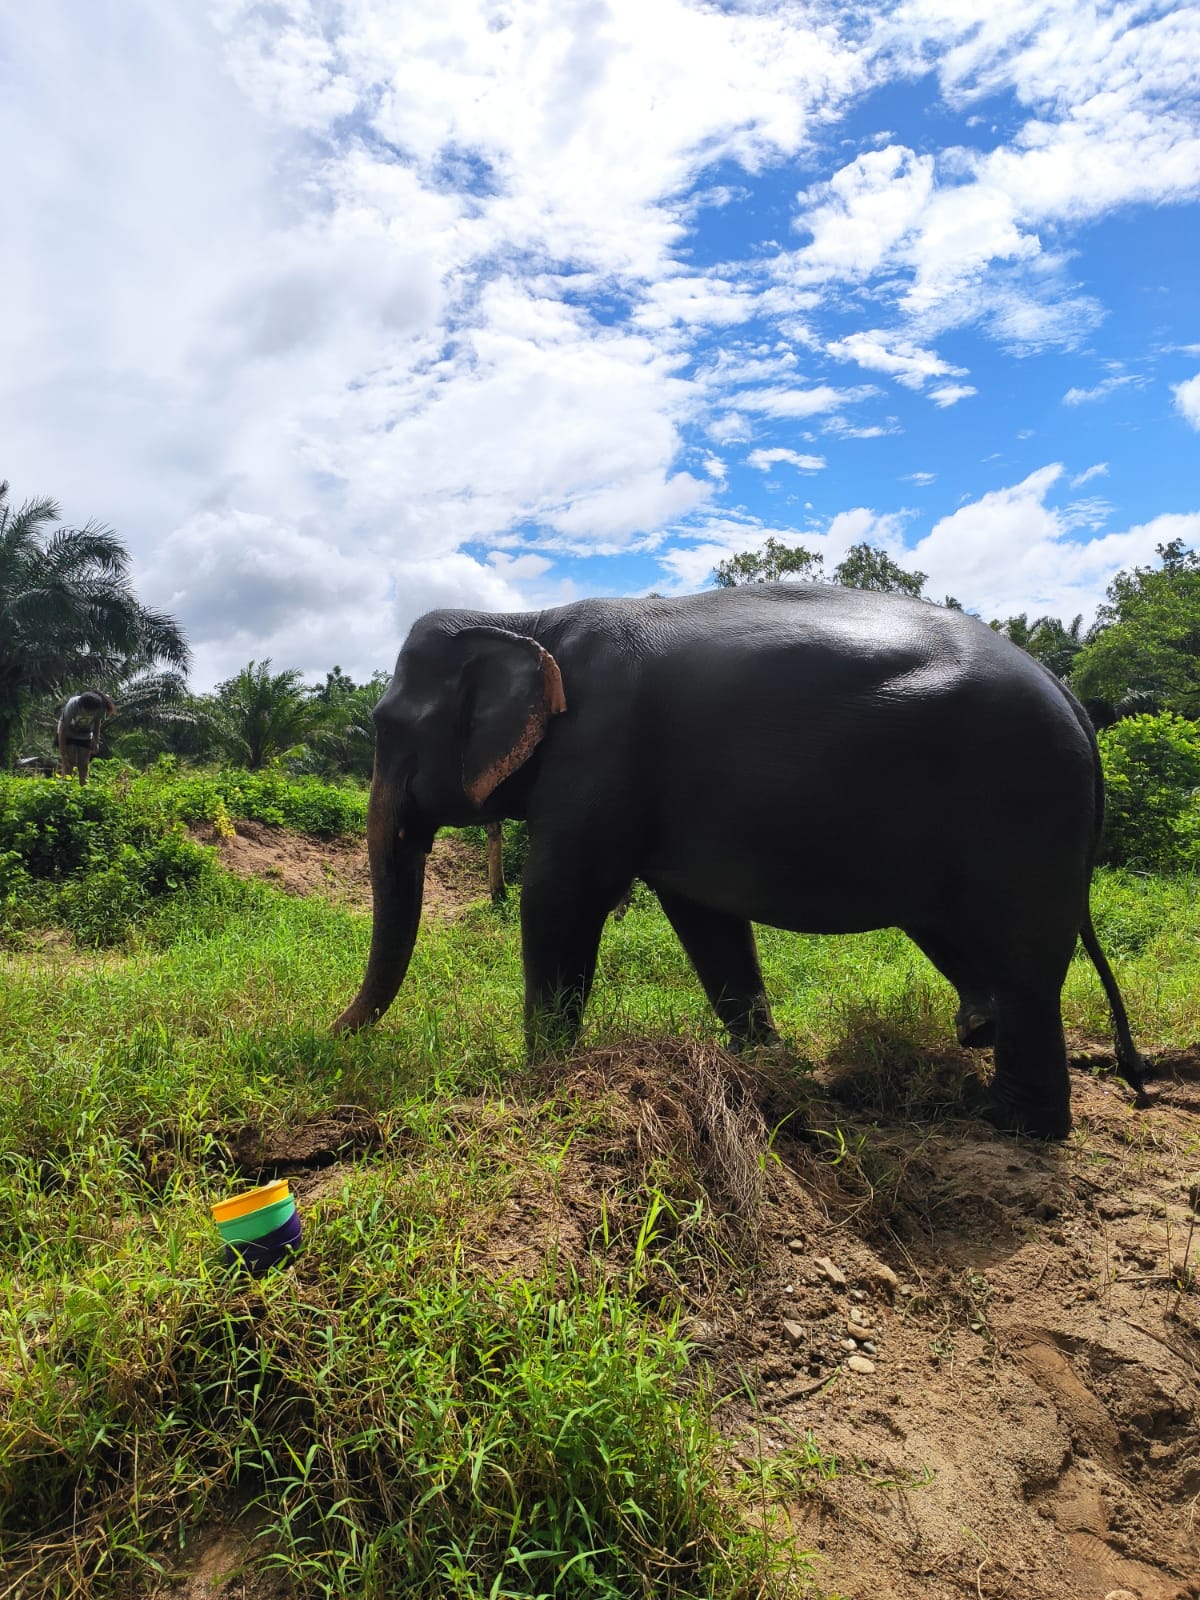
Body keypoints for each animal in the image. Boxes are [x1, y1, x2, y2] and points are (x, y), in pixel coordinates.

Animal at [333, 584, 1148, 1140]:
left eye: (387, 725)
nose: (325, 1038)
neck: (528, 617)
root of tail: (1073, 699)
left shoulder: (596, 754)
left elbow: (560, 899)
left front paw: (540, 1084)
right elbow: (705, 919)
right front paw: (768, 1073)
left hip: (1024, 804)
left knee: (1027, 960)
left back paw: (1011, 1125)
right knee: (961, 934)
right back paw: (977, 1037)